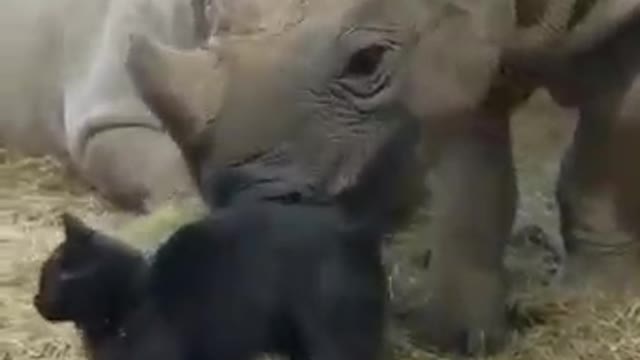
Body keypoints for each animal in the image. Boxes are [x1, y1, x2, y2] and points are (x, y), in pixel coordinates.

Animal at [126, 0, 640, 358]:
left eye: (368, 61)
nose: (253, 213)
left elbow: (603, 153)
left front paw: (590, 299)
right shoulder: (455, 65)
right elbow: (474, 191)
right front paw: (462, 336)